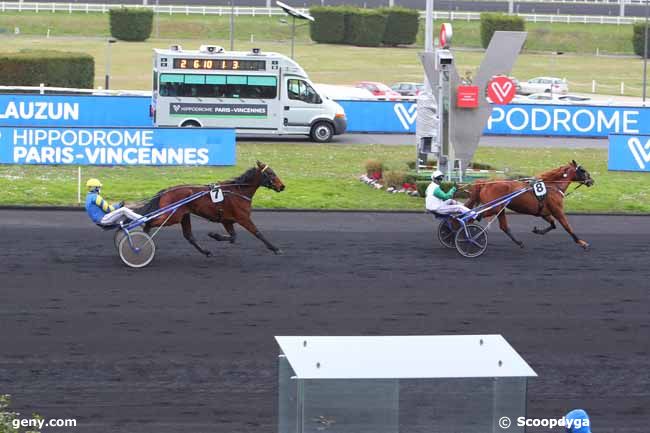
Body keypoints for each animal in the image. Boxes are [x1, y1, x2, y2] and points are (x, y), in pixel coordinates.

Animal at [135, 161, 284, 256]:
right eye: (270, 173)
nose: (282, 186)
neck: (238, 191)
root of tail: (166, 191)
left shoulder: (227, 220)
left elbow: (233, 237)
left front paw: (214, 235)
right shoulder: (243, 218)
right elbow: (258, 233)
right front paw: (275, 248)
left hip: (184, 215)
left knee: (189, 236)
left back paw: (206, 252)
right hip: (172, 216)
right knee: (149, 222)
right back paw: (144, 239)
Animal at [464, 161, 596, 250]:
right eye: (583, 170)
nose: (592, 181)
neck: (553, 186)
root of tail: (486, 183)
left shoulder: (543, 212)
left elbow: (552, 224)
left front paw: (538, 231)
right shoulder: (558, 211)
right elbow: (567, 227)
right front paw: (582, 243)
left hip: (500, 209)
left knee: (503, 227)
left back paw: (519, 242)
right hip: (494, 207)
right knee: (473, 216)